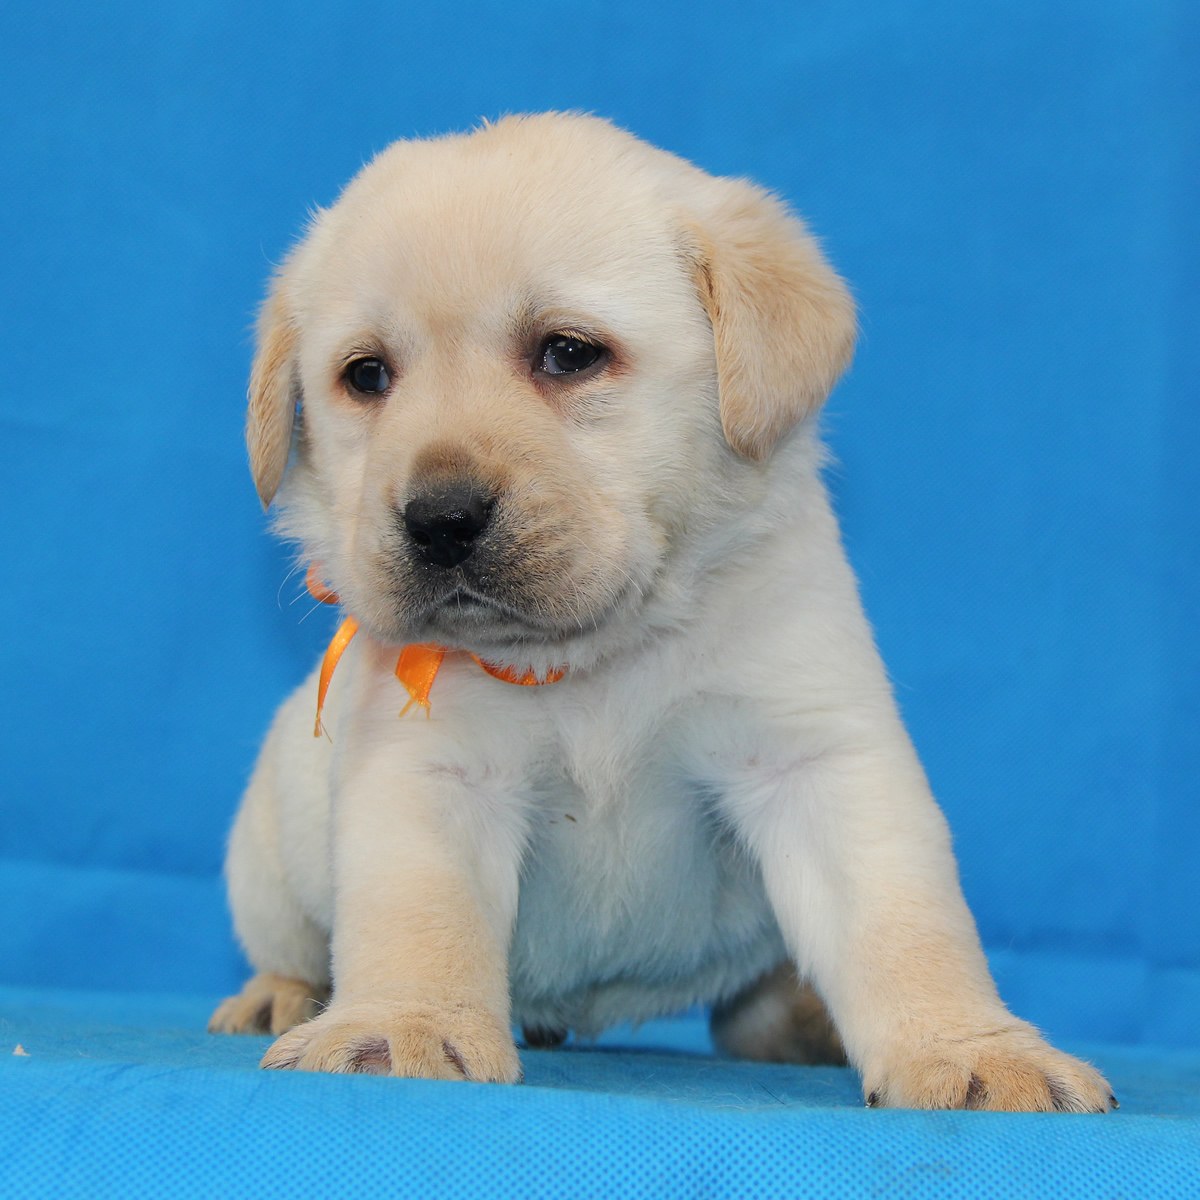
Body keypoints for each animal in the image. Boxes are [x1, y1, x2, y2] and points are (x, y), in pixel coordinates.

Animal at [209, 113, 1113, 1111]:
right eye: (367, 376)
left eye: (568, 353)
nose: (439, 520)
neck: (599, 653)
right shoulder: (432, 772)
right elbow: (418, 919)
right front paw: (401, 1026)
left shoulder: (815, 757)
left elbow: (906, 924)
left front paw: (972, 1049)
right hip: (265, 848)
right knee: (292, 945)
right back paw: (281, 996)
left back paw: (801, 1020)